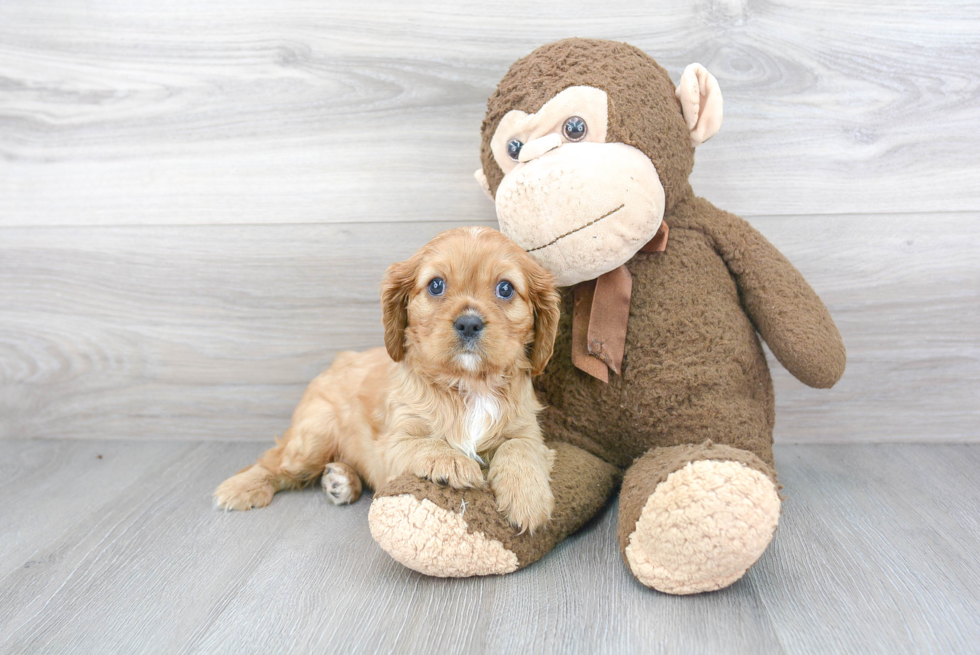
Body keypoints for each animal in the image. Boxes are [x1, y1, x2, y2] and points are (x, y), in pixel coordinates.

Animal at [216, 228, 560, 536]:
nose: (468, 323)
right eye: (436, 285)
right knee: (274, 462)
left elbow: (520, 448)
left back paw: (341, 481)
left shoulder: (529, 430)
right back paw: (242, 486)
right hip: (313, 438)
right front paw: (453, 462)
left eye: (506, 289)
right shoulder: (392, 443)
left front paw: (528, 498)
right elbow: (425, 443)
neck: (470, 385)